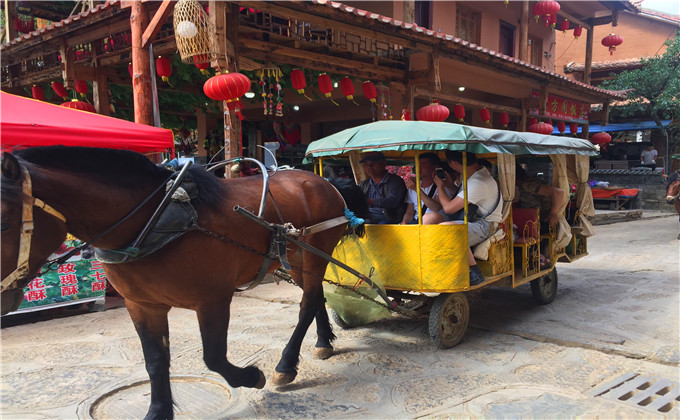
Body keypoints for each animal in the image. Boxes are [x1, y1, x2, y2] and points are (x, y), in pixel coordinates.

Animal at [0, 146, 366, 418]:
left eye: (3, 222)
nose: (3, 297)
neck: (152, 220)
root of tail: (321, 181)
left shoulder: (213, 300)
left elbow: (214, 358)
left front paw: (252, 376)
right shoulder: (141, 305)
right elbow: (155, 361)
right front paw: (158, 412)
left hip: (318, 250)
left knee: (306, 304)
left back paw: (286, 364)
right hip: (299, 256)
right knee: (315, 295)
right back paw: (323, 341)